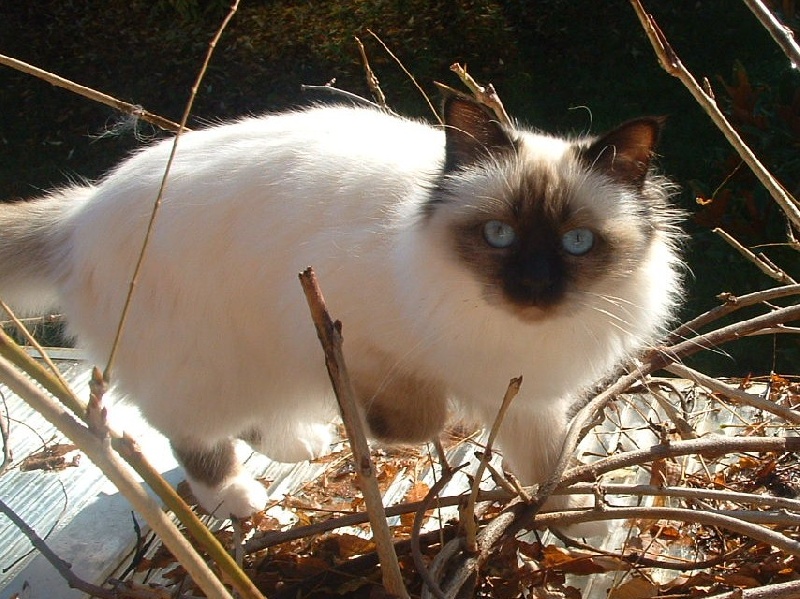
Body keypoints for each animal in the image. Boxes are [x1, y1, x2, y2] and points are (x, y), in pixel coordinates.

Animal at [0, 94, 684, 520]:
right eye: (499, 235)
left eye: (576, 243)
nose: (534, 289)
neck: (506, 333)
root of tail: (79, 215)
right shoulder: (346, 333)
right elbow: (421, 416)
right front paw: (380, 427)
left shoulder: (521, 397)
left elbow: (550, 468)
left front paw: (571, 521)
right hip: (211, 366)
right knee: (192, 437)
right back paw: (236, 498)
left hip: (252, 363)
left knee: (251, 419)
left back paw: (300, 442)